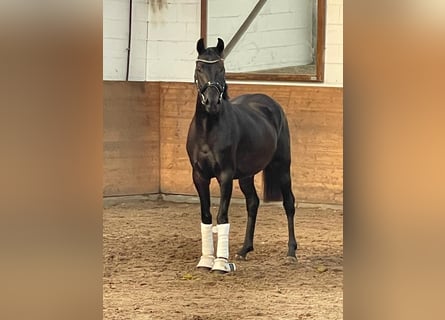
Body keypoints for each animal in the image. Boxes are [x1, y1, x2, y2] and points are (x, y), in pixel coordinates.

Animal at [186, 37, 296, 272]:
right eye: (199, 68)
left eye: (221, 68)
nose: (212, 103)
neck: (208, 129)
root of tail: (270, 104)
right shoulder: (199, 176)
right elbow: (206, 215)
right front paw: (206, 260)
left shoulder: (225, 176)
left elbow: (222, 215)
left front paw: (220, 263)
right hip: (246, 176)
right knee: (253, 203)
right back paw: (245, 249)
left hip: (282, 167)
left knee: (289, 203)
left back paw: (291, 253)